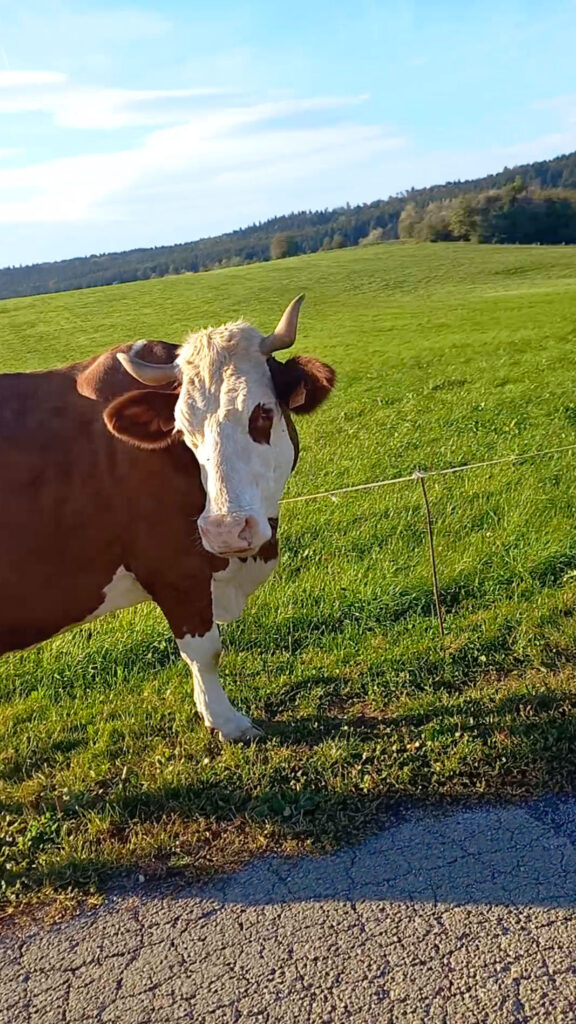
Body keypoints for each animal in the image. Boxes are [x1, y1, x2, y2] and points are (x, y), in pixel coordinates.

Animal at [0, 296, 335, 740]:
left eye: (262, 413)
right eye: (183, 429)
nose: (225, 531)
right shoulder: (175, 570)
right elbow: (204, 651)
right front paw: (226, 721)